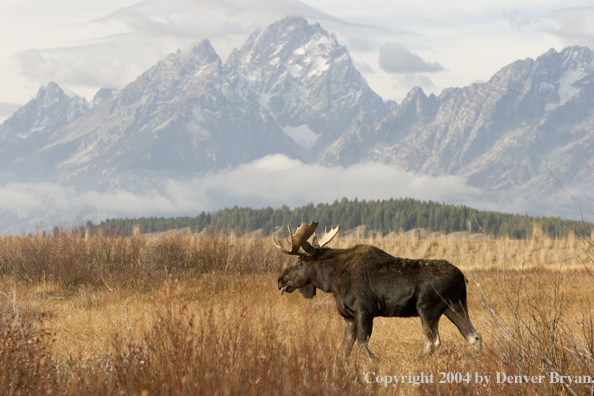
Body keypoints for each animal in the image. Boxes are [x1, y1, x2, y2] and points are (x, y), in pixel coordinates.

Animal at [272, 223, 480, 358]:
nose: (280, 280)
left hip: (428, 309)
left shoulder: (365, 312)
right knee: (474, 336)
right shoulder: (349, 317)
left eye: (299, 262)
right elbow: (345, 349)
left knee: (433, 341)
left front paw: (375, 364)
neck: (332, 282)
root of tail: (463, 278)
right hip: (454, 307)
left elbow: (363, 346)